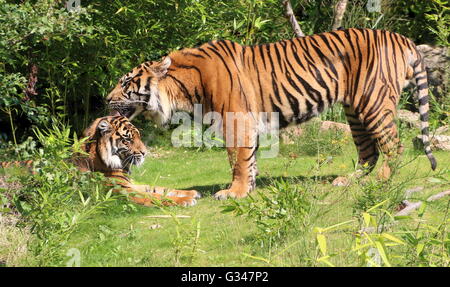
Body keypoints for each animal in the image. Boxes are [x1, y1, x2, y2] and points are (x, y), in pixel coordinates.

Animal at [0, 114, 200, 207]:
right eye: (128, 139)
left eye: (139, 136)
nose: (144, 153)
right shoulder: (122, 191)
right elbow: (155, 196)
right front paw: (185, 201)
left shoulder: (130, 184)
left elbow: (159, 188)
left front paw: (191, 193)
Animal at [105, 28, 436, 200]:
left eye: (125, 82)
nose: (106, 99)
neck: (183, 90)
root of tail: (400, 37)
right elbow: (245, 160)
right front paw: (247, 188)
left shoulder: (236, 120)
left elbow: (238, 160)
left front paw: (235, 192)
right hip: (355, 110)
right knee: (368, 150)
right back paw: (351, 179)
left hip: (373, 102)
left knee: (393, 145)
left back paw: (378, 181)